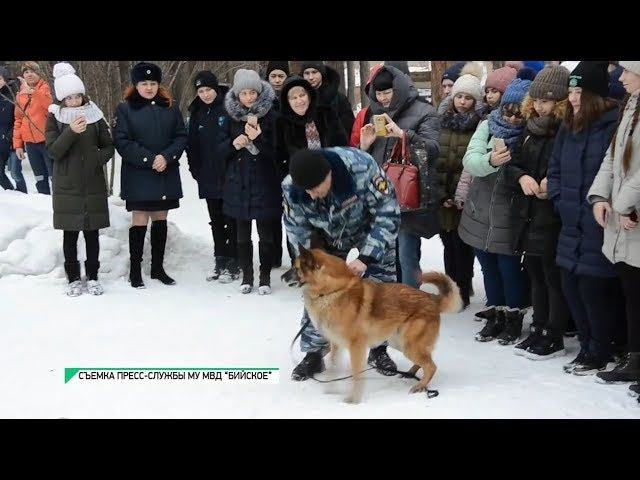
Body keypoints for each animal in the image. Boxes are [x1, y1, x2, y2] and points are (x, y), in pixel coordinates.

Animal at [284, 246, 460, 404]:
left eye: (296, 268)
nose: (282, 278)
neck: (332, 291)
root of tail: (432, 299)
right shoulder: (336, 345)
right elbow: (333, 368)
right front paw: (330, 390)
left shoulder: (356, 347)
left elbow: (356, 375)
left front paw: (354, 400)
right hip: (400, 342)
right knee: (425, 361)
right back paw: (409, 374)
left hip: (409, 345)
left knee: (431, 366)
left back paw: (420, 386)